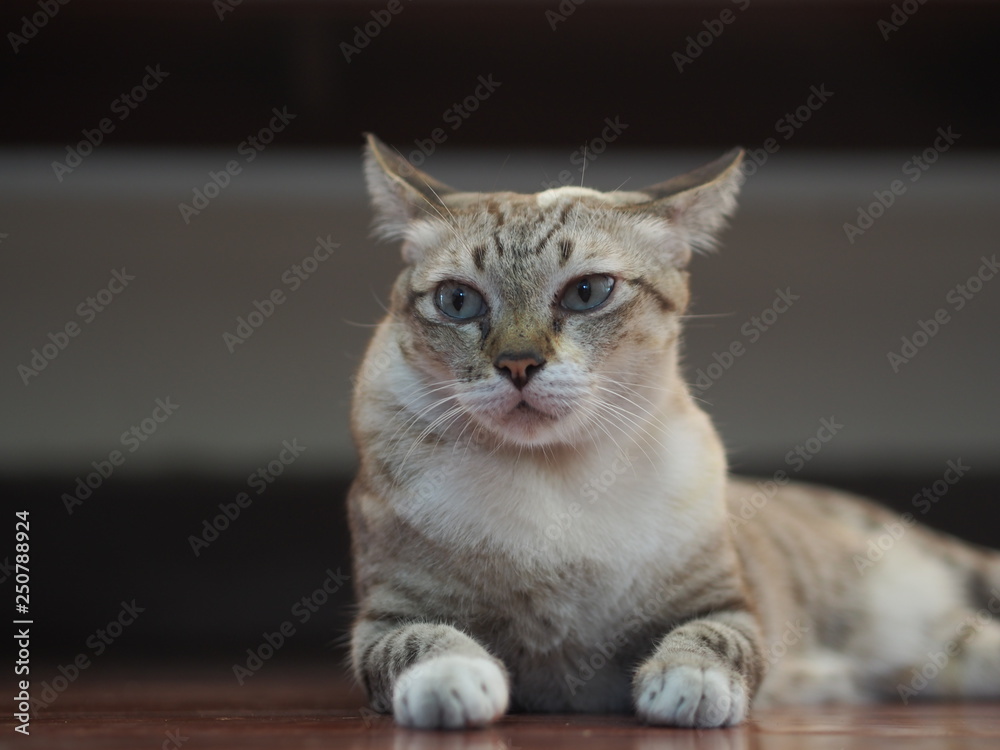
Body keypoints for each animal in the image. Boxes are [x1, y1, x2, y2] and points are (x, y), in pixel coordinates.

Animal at [346, 134, 1000, 728]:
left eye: (587, 292)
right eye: (458, 302)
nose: (518, 365)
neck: (557, 482)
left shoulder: (726, 605)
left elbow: (708, 640)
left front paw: (689, 688)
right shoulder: (384, 618)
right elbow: (423, 642)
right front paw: (454, 683)